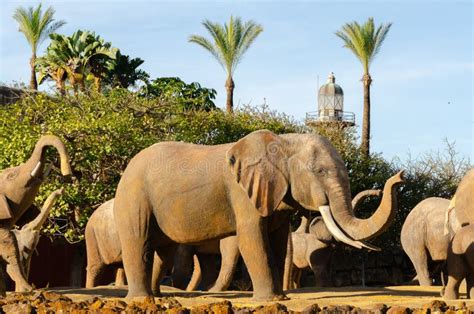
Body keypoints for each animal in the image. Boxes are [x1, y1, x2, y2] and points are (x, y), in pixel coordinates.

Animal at [114, 129, 404, 300]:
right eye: (320, 171)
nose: (399, 177)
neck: (283, 141)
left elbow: (277, 242)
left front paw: (279, 298)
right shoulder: (241, 193)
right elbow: (252, 238)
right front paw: (271, 300)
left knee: (162, 250)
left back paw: (158, 297)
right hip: (134, 197)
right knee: (139, 241)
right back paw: (142, 300)